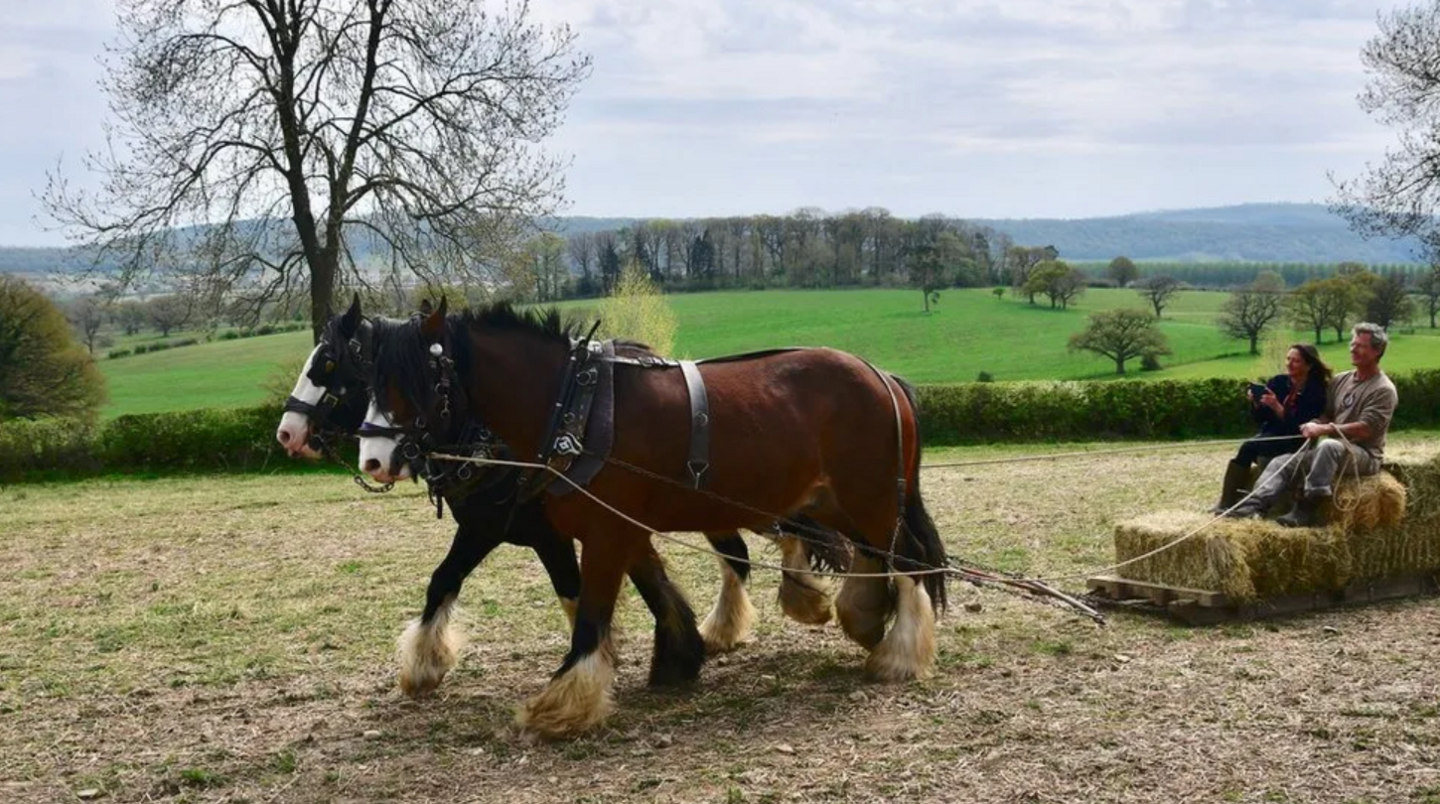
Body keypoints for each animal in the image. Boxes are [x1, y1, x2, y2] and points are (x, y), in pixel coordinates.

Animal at [273, 299, 835, 703]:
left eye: (329, 363)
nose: (287, 432)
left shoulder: (534, 532)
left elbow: (574, 590)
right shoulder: (499, 527)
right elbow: (445, 581)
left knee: (755, 546)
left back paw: (774, 606)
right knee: (752, 546)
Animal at [357, 301, 944, 737]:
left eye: (418, 382)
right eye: (368, 376)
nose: (374, 460)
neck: (577, 408)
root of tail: (881, 375)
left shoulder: (602, 533)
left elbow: (592, 612)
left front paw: (562, 703)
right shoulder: (618, 528)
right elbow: (653, 588)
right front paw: (677, 658)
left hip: (868, 497)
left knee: (907, 561)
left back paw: (898, 655)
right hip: (835, 503)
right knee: (875, 555)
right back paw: (863, 619)